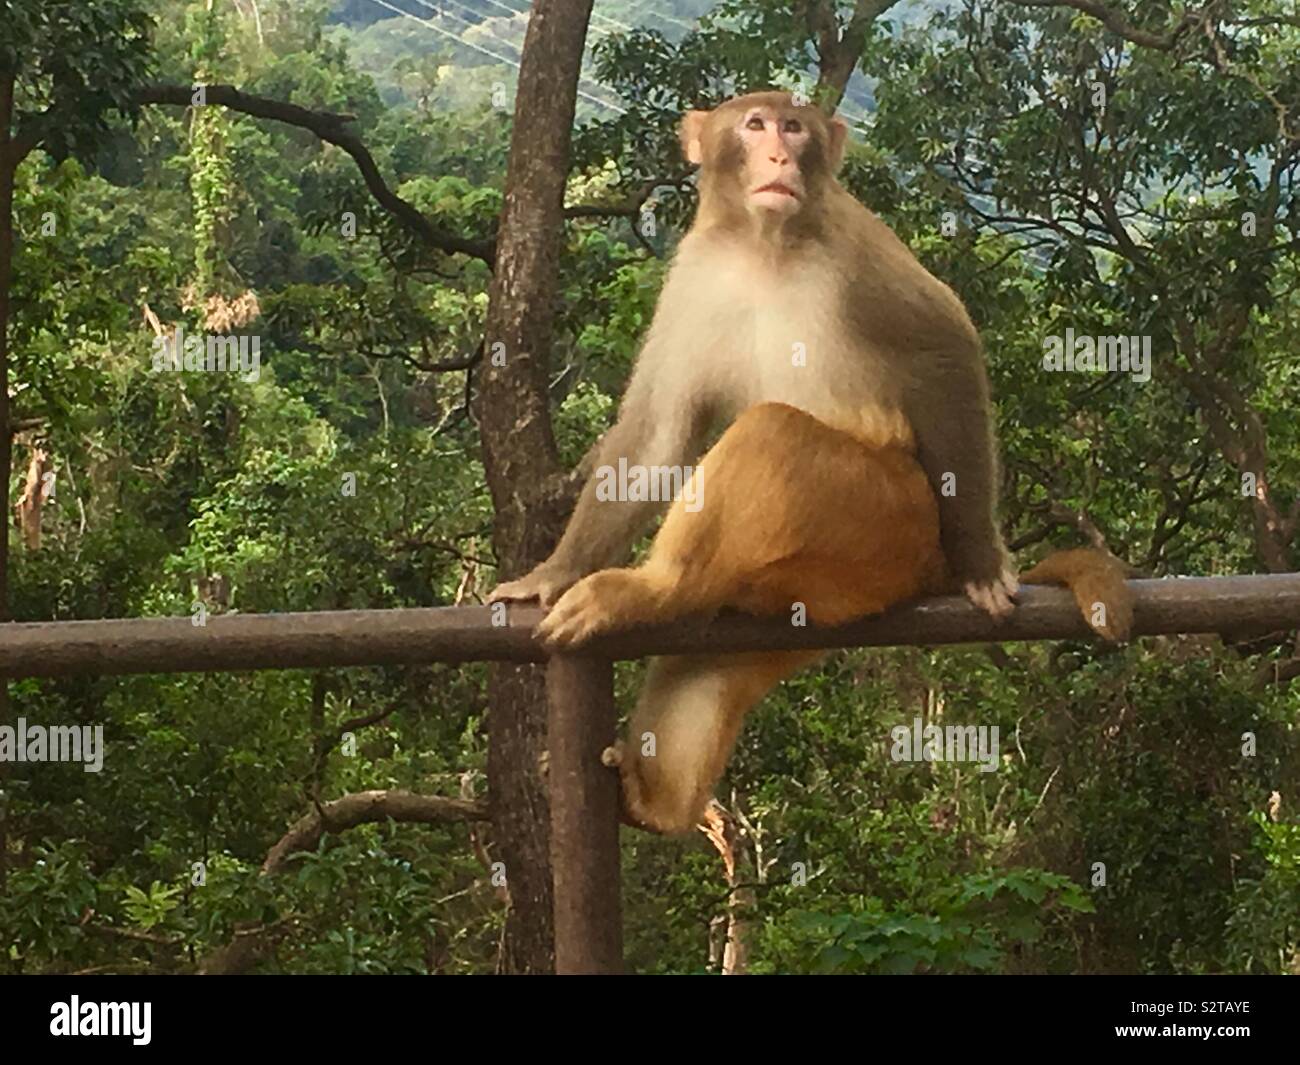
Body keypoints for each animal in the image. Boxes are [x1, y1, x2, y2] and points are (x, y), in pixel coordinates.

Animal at [491, 93, 1133, 832]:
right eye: (755, 125)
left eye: (794, 127)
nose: (779, 156)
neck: (762, 245)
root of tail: (926, 566)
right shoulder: (694, 273)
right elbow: (656, 435)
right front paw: (551, 573)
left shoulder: (854, 240)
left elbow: (945, 344)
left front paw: (982, 562)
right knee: (704, 663)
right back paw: (652, 798)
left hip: (889, 515)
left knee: (775, 432)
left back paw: (655, 587)